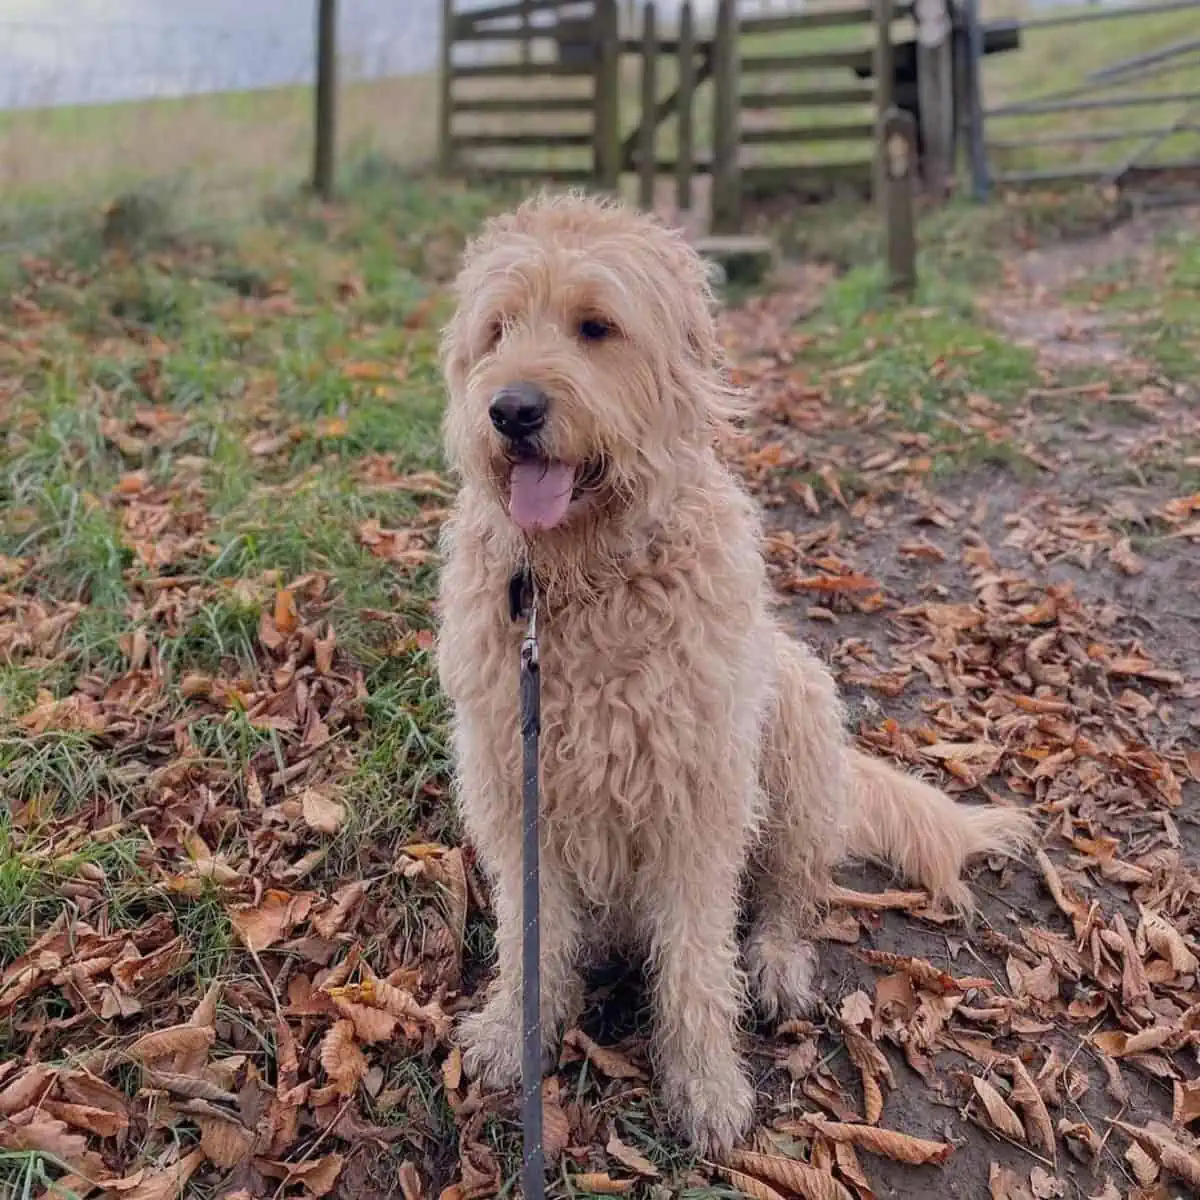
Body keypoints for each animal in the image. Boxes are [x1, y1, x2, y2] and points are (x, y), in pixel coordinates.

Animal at [436, 189, 1036, 1152]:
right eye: (497, 331)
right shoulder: (513, 785)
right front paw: (514, 1030)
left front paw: (706, 1084)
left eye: (595, 326)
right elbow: (535, 932)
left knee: (792, 894)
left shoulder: (697, 799)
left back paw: (780, 963)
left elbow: (694, 959)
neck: (584, 579)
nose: (511, 410)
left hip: (793, 725)